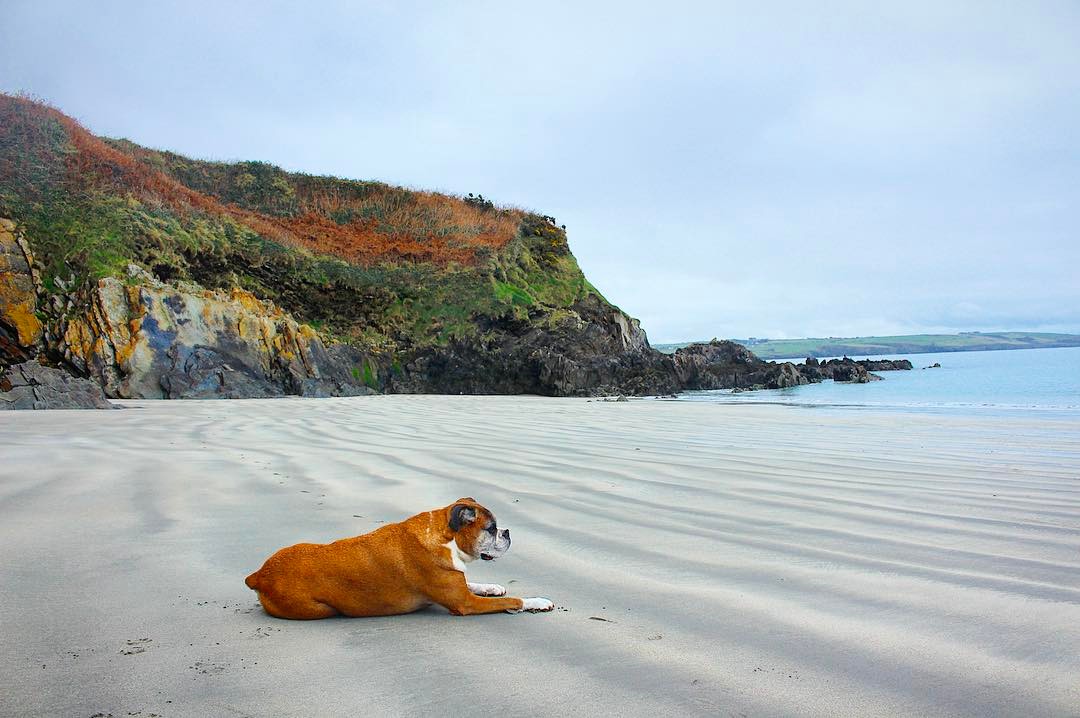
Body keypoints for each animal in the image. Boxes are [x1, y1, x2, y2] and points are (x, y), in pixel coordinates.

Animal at [241, 496, 552, 617]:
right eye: (491, 529)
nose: (508, 532)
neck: (445, 537)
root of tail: (259, 575)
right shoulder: (465, 604)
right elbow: (514, 600)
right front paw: (537, 601)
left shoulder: (459, 584)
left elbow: (475, 583)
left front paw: (493, 586)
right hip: (317, 609)